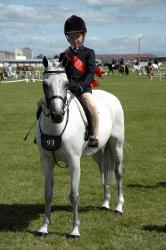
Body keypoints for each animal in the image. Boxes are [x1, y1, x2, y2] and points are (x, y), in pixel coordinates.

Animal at [35, 56, 124, 238]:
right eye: (45, 84)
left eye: (66, 84)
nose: (57, 115)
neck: (56, 128)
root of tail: (111, 97)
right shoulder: (46, 162)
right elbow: (48, 194)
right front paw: (44, 227)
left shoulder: (74, 162)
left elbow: (74, 195)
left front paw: (75, 230)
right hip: (96, 151)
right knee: (104, 170)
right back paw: (105, 203)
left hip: (117, 144)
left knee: (118, 173)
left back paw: (118, 207)